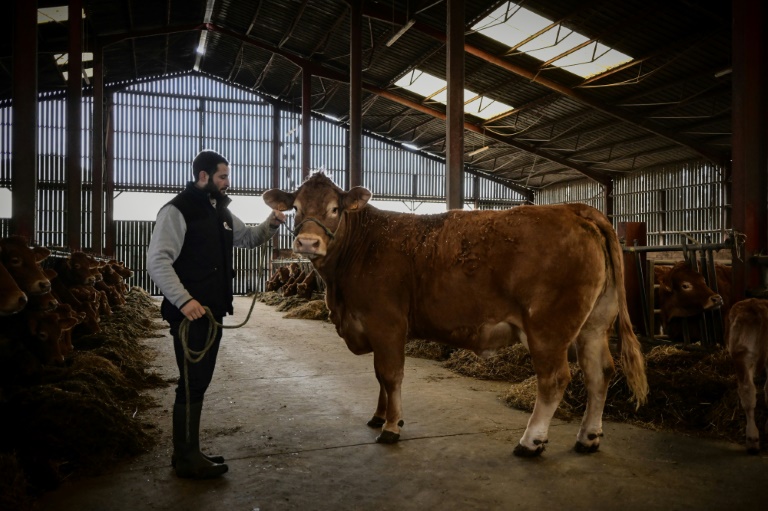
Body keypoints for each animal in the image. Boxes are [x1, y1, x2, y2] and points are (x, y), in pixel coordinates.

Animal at [264, 174, 648, 458]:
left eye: (334, 208)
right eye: (295, 207)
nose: (308, 243)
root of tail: (574, 208)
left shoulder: (386, 322)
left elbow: (390, 375)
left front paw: (391, 427)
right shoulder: (375, 327)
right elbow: (379, 377)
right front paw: (379, 416)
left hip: (548, 328)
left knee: (555, 380)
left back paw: (530, 442)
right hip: (594, 325)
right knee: (600, 374)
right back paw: (588, 438)